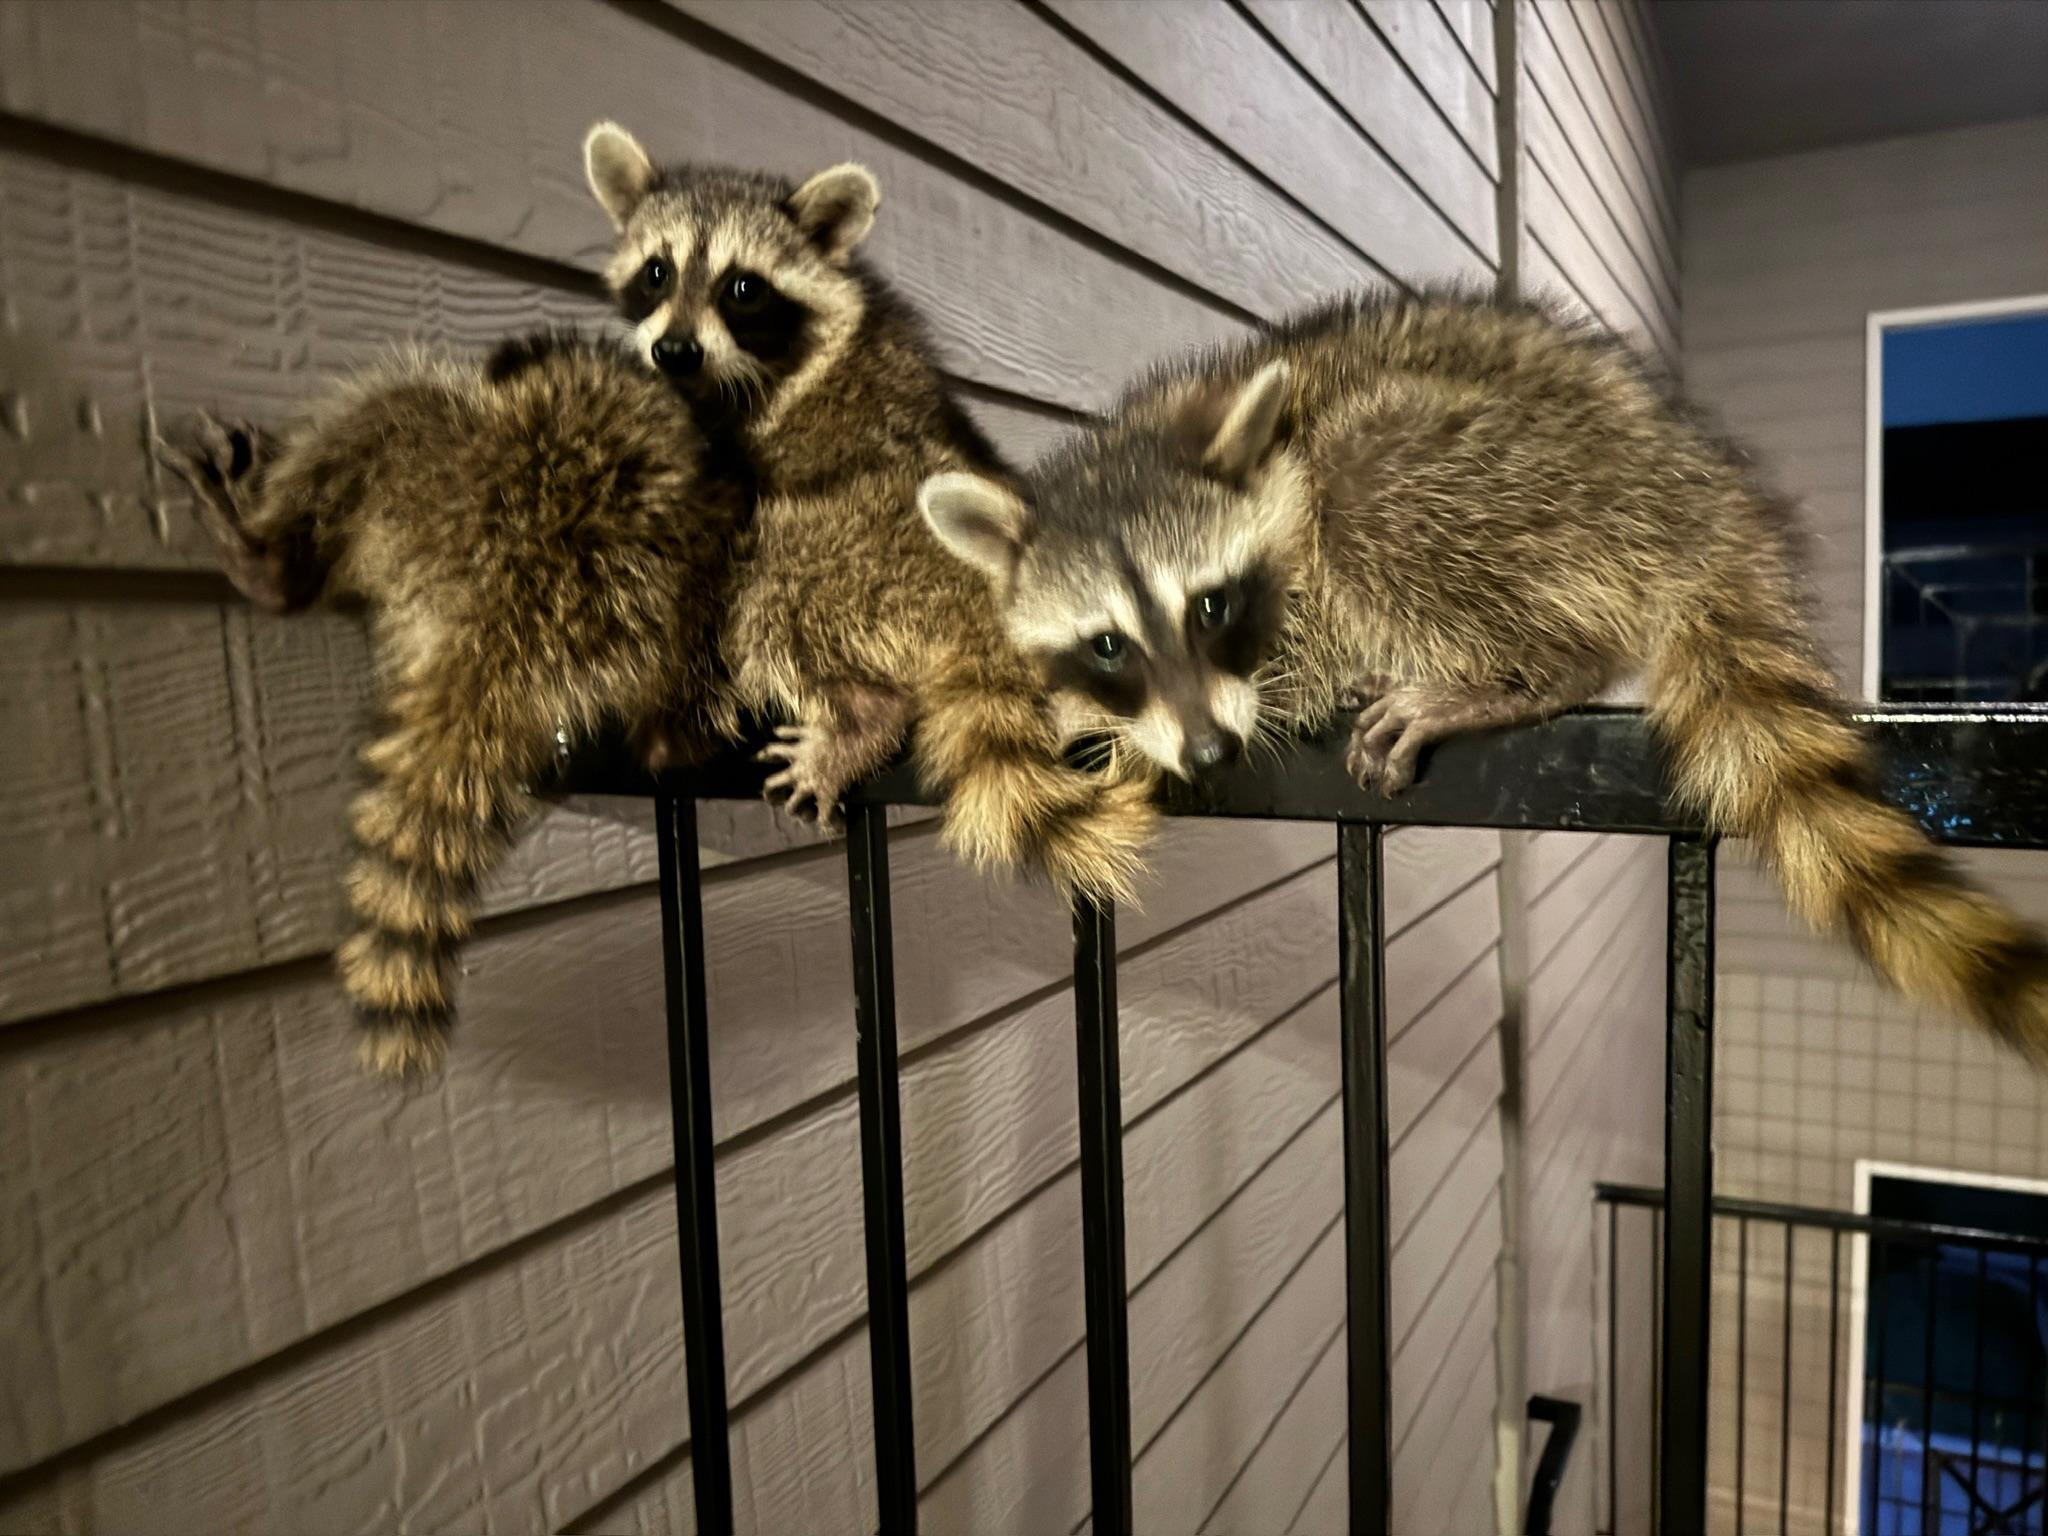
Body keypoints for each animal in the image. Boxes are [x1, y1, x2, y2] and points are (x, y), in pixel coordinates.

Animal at [584, 123, 1156, 902]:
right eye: (655, 273)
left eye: (743, 288)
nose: (673, 351)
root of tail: (982, 603)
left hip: (869, 546)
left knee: (773, 569)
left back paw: (862, 717)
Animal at [921, 290, 2048, 1055]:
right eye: (1106, 643)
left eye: (1211, 606)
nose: (1205, 749)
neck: (1147, 441)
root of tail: (1695, 498)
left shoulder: (1298, 556)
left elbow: (1303, 655)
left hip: (1523, 490)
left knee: (1373, 476)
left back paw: (1525, 669)